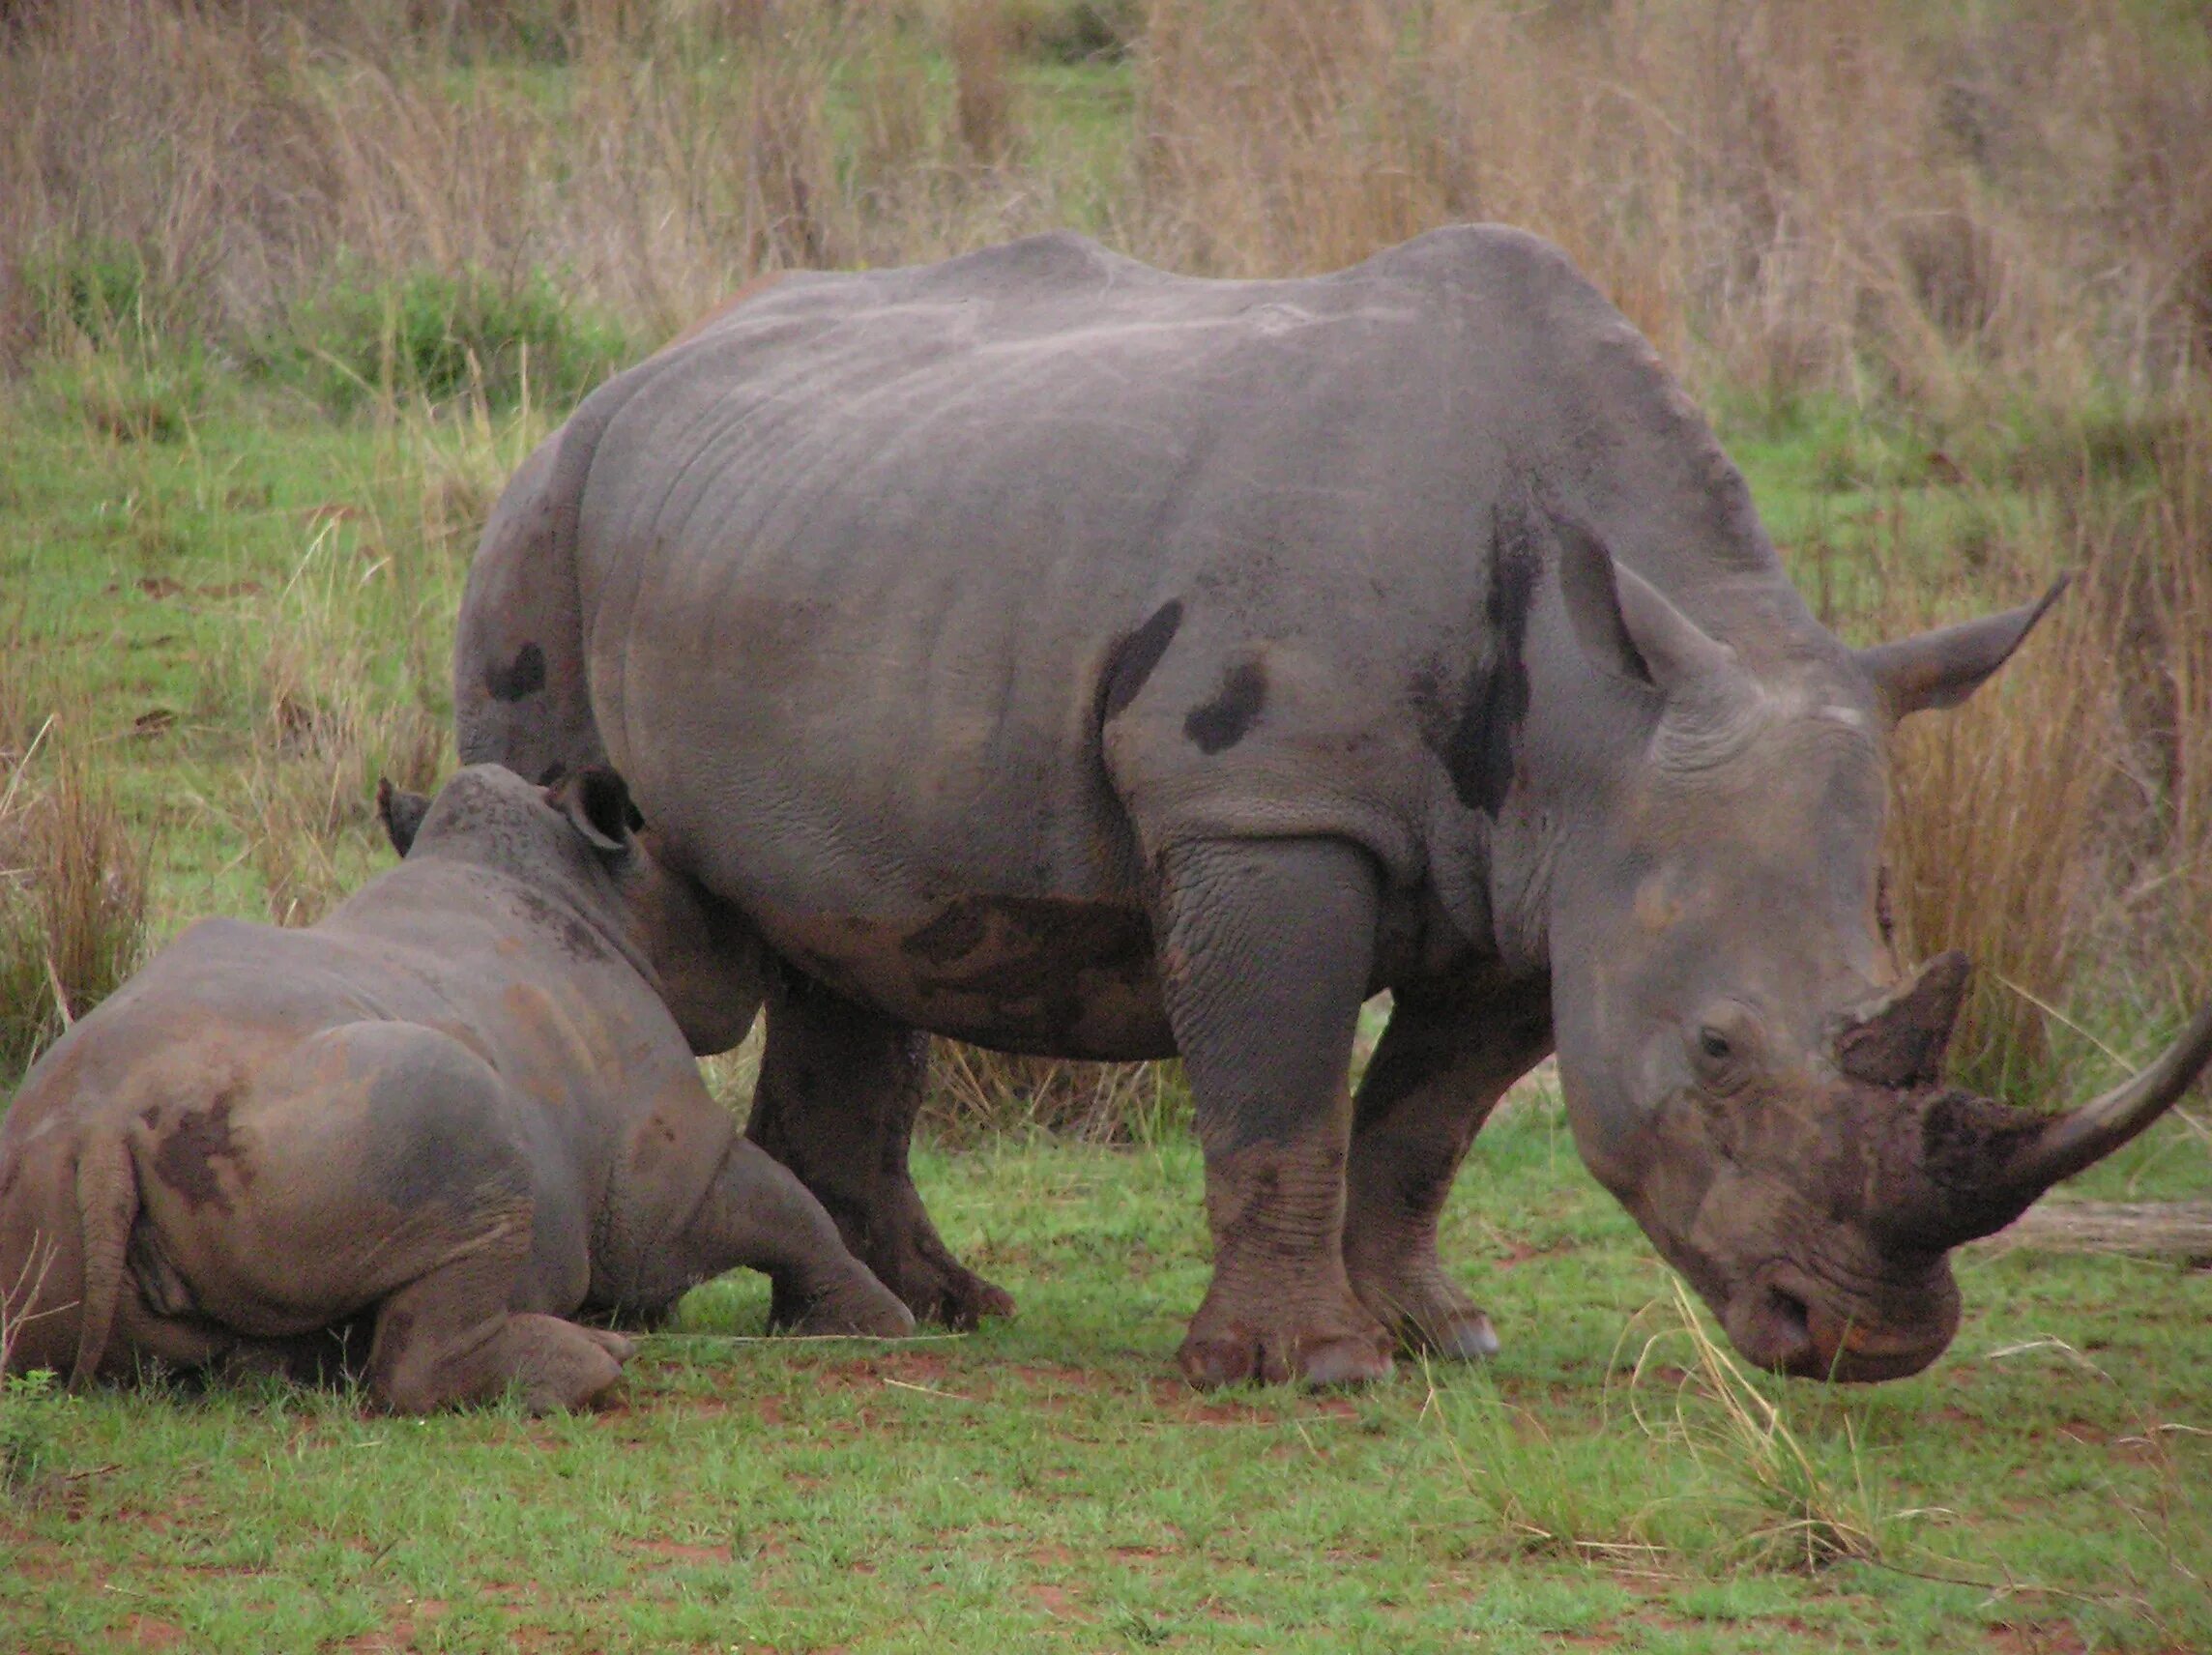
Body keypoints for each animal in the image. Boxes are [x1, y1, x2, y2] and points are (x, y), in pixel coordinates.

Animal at [0, 761, 916, 1407]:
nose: (765, 952)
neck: (583, 890)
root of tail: (102, 1130)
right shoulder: (661, 1171)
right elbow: (776, 1204)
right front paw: (879, 1325)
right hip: (337, 1116)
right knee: (464, 1130)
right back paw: (595, 1370)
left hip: (53, 1179)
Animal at [453, 226, 2212, 1389]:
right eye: (1715, 1051)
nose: (1862, 1341)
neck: (1607, 702)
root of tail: (636, 371)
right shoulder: (1264, 803)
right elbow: (1283, 1090)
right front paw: (1307, 1370)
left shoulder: (1547, 878)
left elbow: (1423, 1122)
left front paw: (1441, 1335)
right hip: (544, 518)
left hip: (830, 532)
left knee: (856, 924)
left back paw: (936, 1311)